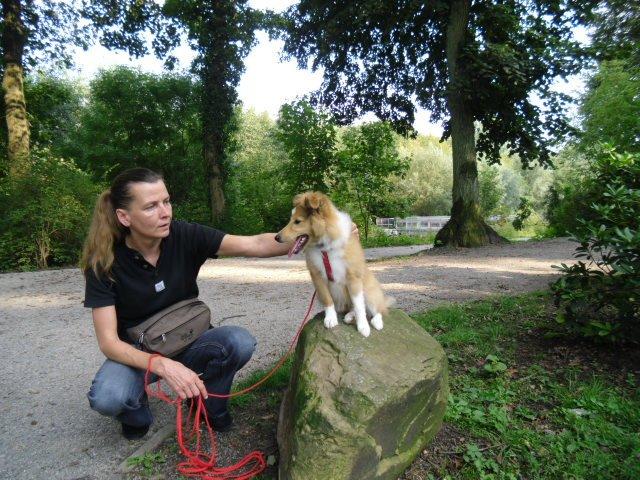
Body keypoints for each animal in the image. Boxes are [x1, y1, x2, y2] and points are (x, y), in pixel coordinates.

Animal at [275, 192, 392, 337]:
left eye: (297, 221)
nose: (276, 237)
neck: (325, 247)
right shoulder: (317, 276)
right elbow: (328, 299)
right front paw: (330, 319)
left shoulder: (353, 278)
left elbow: (359, 305)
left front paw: (363, 327)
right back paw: (349, 316)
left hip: (369, 291)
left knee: (377, 309)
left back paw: (375, 321)